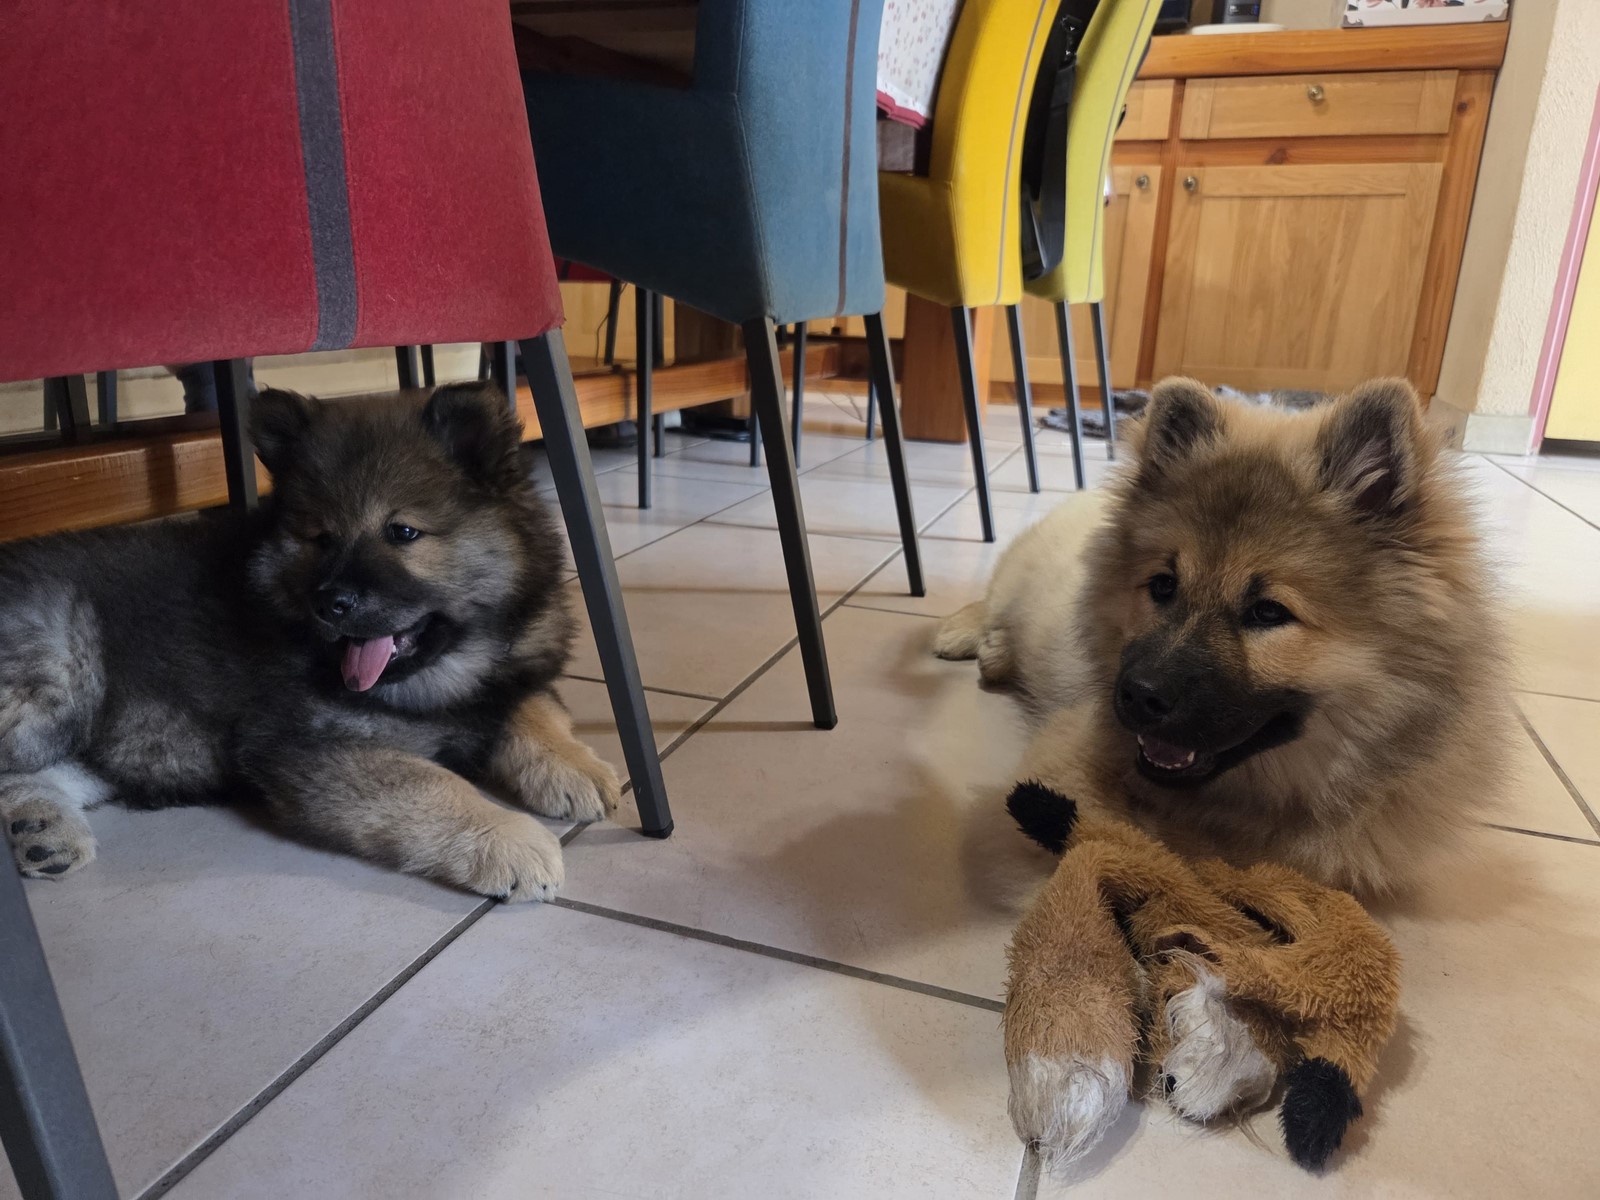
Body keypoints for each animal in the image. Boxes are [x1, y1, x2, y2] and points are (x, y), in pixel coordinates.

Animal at [0, 382, 617, 901]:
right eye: (322, 538)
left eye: (403, 532)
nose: (331, 602)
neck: (448, 670)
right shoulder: (312, 746)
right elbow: (431, 783)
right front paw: (511, 838)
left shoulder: (513, 671)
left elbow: (533, 707)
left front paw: (577, 767)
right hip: (60, 670)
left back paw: (42, 832)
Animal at [936, 377, 1511, 896]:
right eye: (1164, 586)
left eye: (1268, 612)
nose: (1138, 696)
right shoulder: (1065, 759)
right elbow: (1133, 843)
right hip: (1021, 578)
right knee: (989, 600)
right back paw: (969, 637)